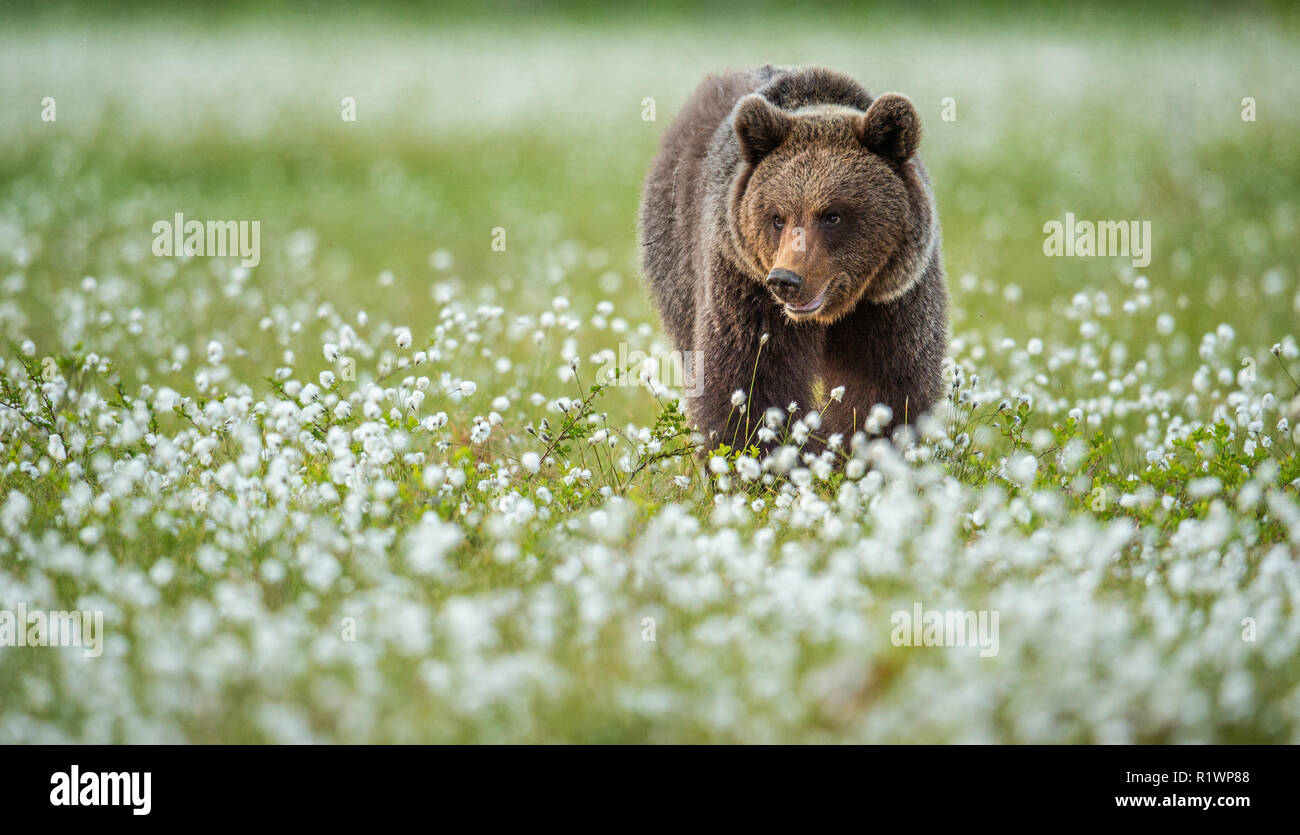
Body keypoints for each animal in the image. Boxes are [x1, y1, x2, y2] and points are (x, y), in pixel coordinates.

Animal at [638, 65, 948, 455]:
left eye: (833, 215)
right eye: (777, 217)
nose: (786, 280)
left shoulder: (891, 298)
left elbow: (886, 382)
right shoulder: (745, 285)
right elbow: (749, 377)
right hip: (677, 256)